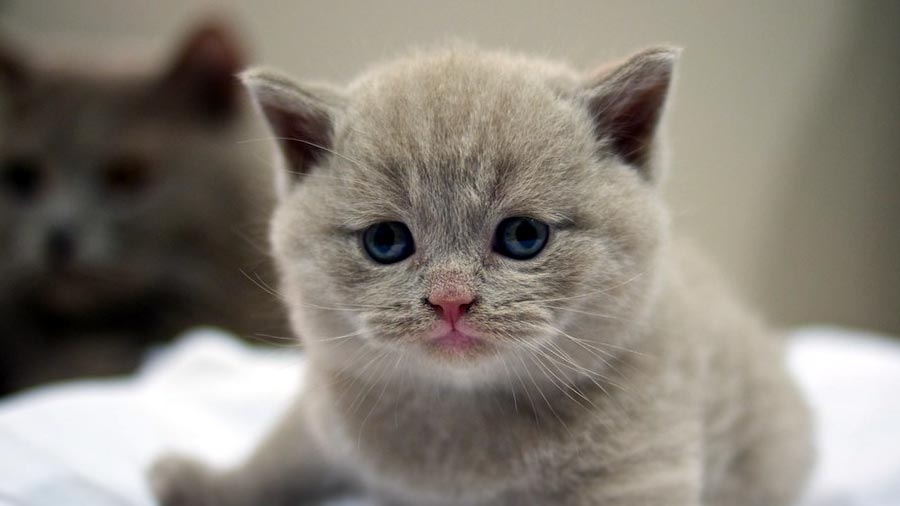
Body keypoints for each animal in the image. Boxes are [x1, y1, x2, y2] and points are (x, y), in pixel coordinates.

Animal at [151, 45, 812, 504]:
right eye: (386, 241)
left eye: (523, 237)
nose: (450, 300)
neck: (458, 426)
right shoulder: (327, 411)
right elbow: (279, 455)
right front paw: (204, 483)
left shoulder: (641, 467)